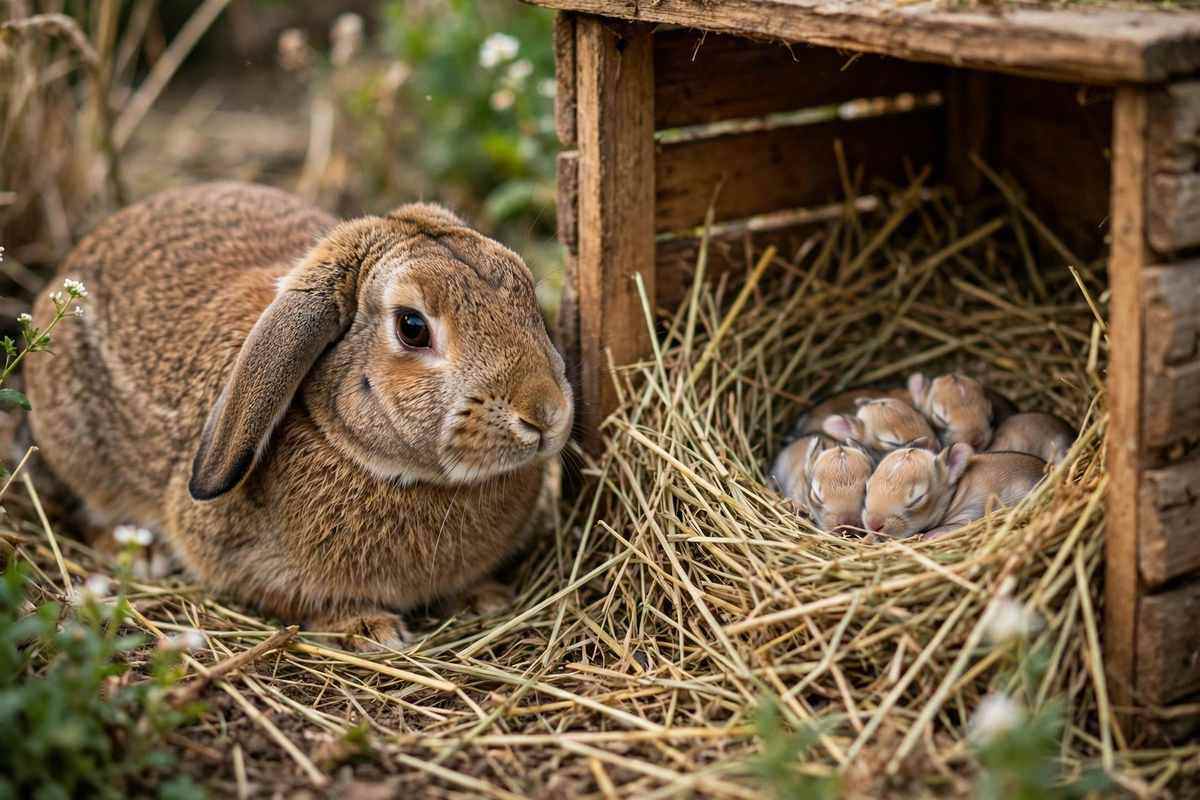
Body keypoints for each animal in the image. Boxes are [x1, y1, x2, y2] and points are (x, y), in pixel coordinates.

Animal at [862, 444, 1045, 540]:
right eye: (867, 488)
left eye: (918, 499)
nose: (873, 524)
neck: (956, 491)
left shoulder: (970, 512)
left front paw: (929, 536)